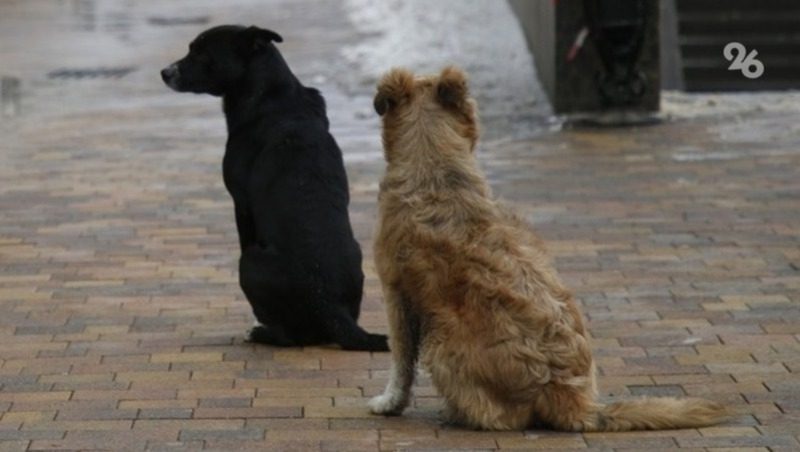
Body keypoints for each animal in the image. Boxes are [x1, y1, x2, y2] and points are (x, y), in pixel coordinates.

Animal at [162, 24, 388, 352]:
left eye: (201, 52)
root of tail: (329, 306)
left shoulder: (241, 205)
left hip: (249, 261)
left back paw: (260, 332)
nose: (165, 73)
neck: (273, 96)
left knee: (290, 338)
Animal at [366, 67, 728, 430]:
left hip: (440, 341)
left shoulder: (395, 291)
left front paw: (389, 402)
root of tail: (569, 395)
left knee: (501, 416)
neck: (432, 165)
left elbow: (401, 363)